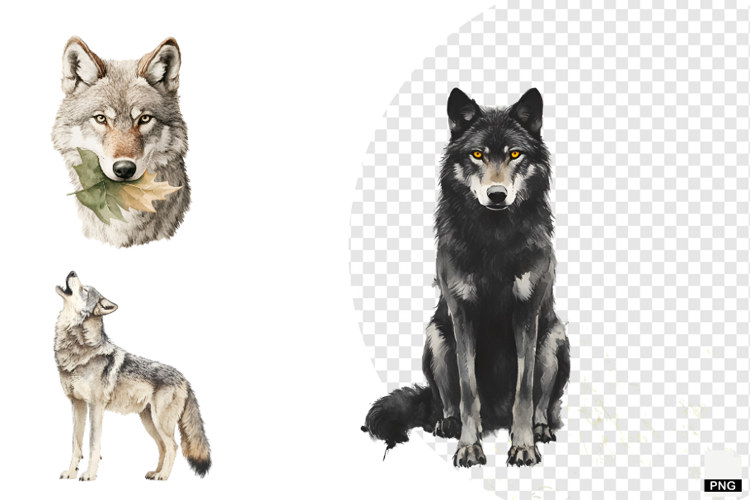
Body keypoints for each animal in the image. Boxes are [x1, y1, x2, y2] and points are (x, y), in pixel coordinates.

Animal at [54, 271, 210, 480]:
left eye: (85, 290)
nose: (72, 272)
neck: (78, 350)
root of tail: (184, 379)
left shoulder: (96, 406)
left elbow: (93, 445)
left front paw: (89, 475)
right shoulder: (77, 404)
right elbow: (76, 444)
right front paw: (71, 472)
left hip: (160, 422)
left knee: (173, 446)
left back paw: (163, 476)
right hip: (149, 422)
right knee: (162, 446)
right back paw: (155, 472)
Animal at [362, 88, 570, 468]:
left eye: (514, 154)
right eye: (477, 154)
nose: (497, 195)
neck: (495, 238)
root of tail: (496, 415)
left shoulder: (526, 316)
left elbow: (525, 392)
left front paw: (523, 446)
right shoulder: (462, 315)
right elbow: (468, 390)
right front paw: (469, 447)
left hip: (552, 339)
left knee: (543, 402)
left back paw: (541, 429)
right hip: (437, 337)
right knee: (447, 401)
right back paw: (447, 423)